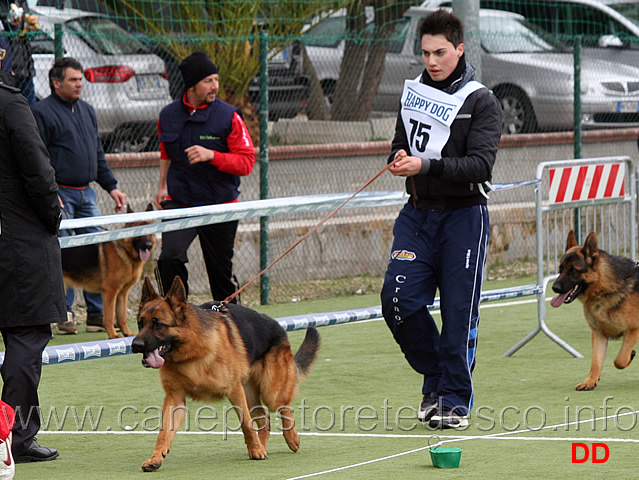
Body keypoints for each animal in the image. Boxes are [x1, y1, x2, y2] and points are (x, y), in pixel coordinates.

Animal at [61, 204, 156, 340]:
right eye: (139, 231)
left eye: (150, 231)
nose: (148, 245)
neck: (125, 252)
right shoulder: (110, 292)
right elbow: (110, 316)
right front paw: (113, 335)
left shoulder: (122, 293)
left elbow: (122, 316)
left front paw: (127, 333)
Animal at [131, 276, 320, 470]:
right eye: (140, 323)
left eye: (158, 324)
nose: (135, 345)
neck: (192, 352)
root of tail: (279, 327)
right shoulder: (174, 398)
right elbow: (164, 432)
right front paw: (156, 458)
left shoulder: (234, 391)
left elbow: (246, 424)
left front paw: (255, 450)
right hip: (250, 394)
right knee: (264, 420)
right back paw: (263, 445)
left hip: (270, 393)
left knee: (283, 407)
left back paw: (291, 439)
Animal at [552, 231, 639, 392]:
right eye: (561, 269)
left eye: (573, 270)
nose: (554, 288)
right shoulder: (599, 334)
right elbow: (596, 361)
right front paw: (590, 381)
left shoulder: (633, 330)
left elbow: (619, 360)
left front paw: (630, 355)